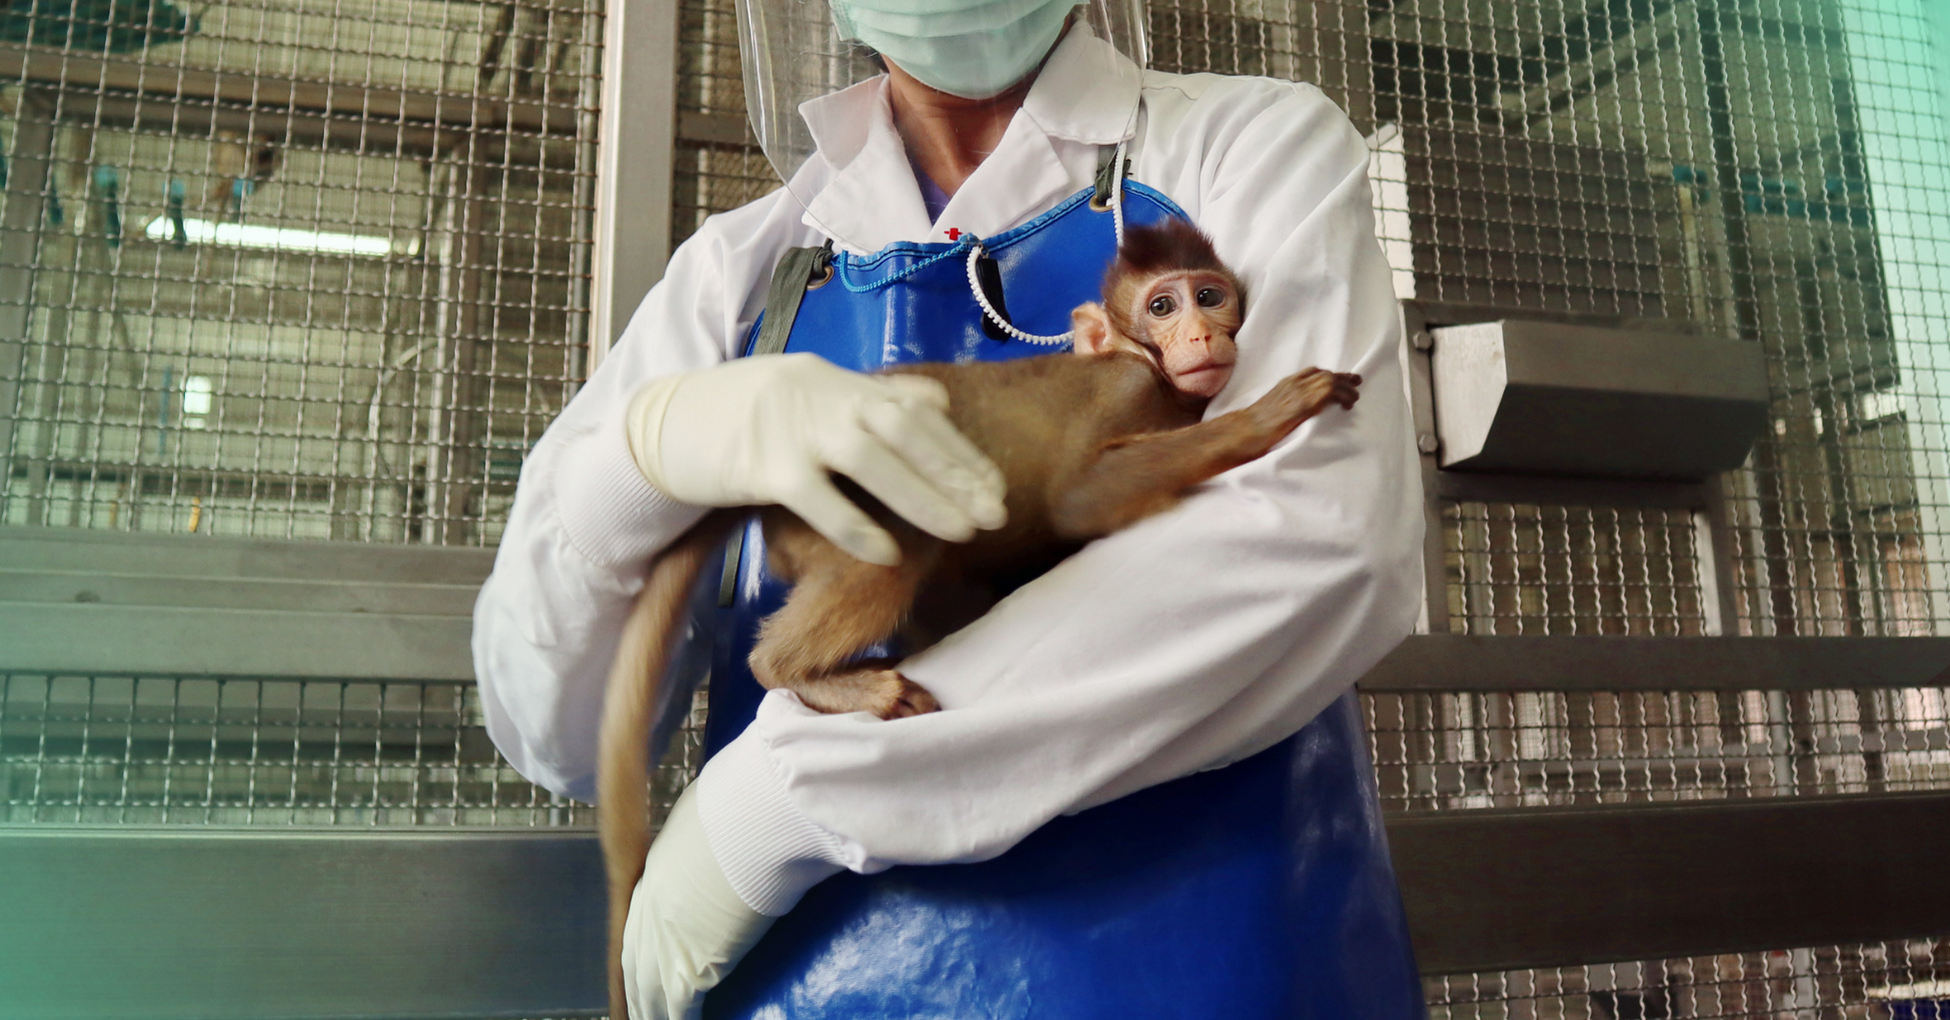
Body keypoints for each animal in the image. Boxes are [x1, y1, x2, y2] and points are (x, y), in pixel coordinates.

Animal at [592, 217, 1357, 1020]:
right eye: (1162, 306)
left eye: (1209, 295)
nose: (1202, 332)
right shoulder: (1125, 390)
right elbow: (1081, 498)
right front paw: (1272, 413)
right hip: (844, 495)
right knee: (901, 549)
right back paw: (814, 675)